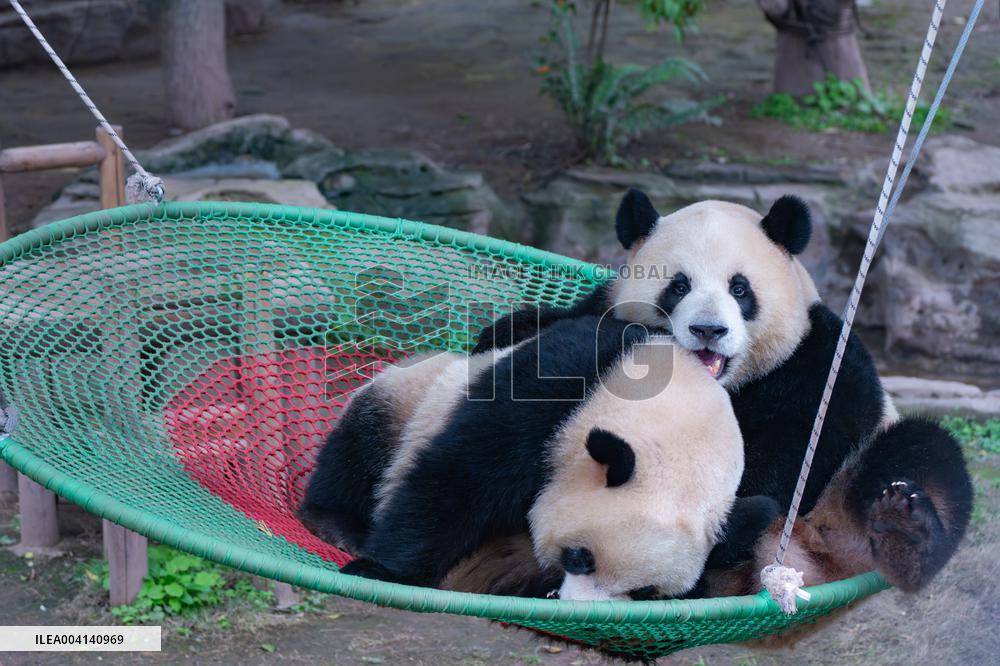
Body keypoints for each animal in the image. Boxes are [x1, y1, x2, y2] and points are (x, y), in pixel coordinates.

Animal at [339, 315, 749, 601]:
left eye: (644, 592)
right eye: (581, 557)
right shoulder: (560, 383)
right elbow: (461, 477)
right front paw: (380, 570)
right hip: (412, 395)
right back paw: (339, 526)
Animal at [472, 189, 973, 595]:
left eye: (740, 288)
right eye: (678, 285)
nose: (708, 329)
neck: (725, 385)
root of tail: (799, 566)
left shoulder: (819, 367)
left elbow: (785, 458)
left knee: (923, 450)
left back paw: (904, 535)